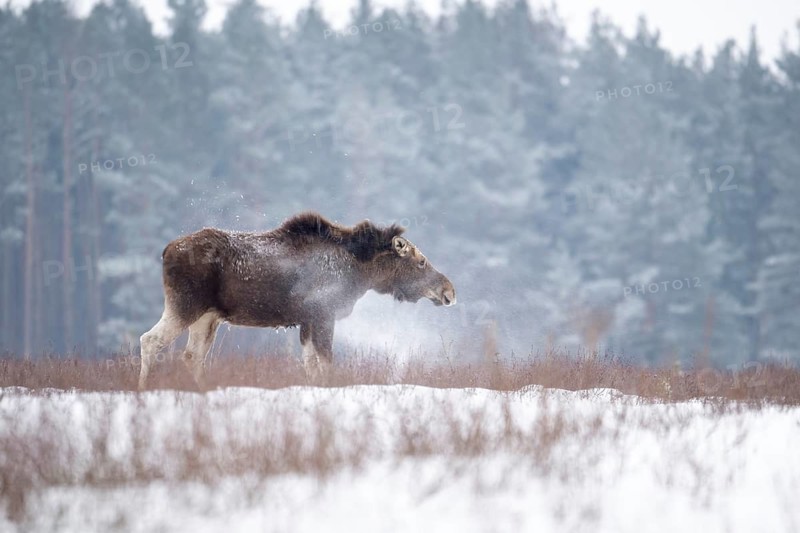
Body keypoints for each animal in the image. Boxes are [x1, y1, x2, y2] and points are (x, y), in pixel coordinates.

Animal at [138, 212, 456, 389]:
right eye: (421, 261)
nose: (449, 291)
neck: (360, 272)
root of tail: (166, 250)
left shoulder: (307, 321)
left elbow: (310, 364)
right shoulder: (323, 314)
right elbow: (326, 362)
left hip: (207, 317)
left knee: (192, 356)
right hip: (185, 305)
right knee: (150, 340)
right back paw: (143, 387)